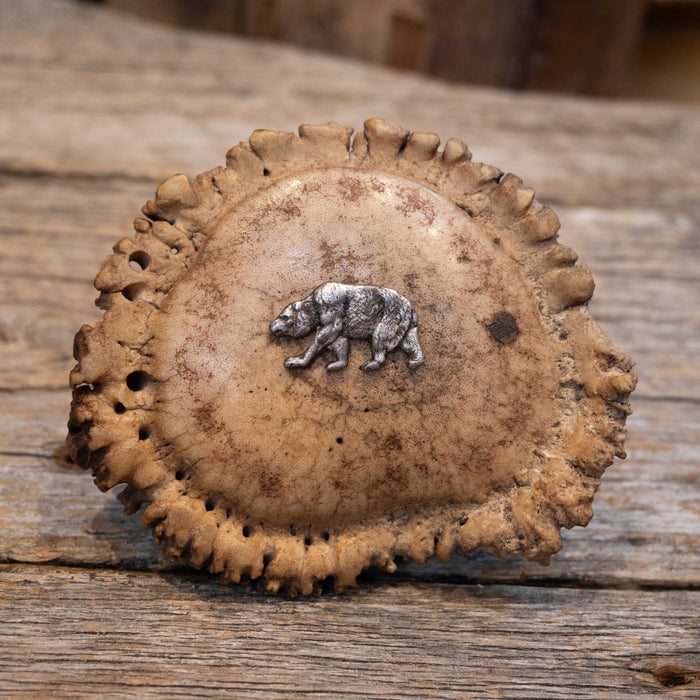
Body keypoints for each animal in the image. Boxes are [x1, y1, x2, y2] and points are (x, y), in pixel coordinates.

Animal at [270, 282, 425, 371]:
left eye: (284, 317)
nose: (271, 326)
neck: (315, 310)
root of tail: (411, 308)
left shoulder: (331, 306)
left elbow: (324, 336)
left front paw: (296, 360)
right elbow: (339, 341)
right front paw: (336, 363)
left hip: (389, 316)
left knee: (379, 338)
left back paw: (371, 363)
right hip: (405, 323)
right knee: (409, 341)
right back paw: (415, 360)